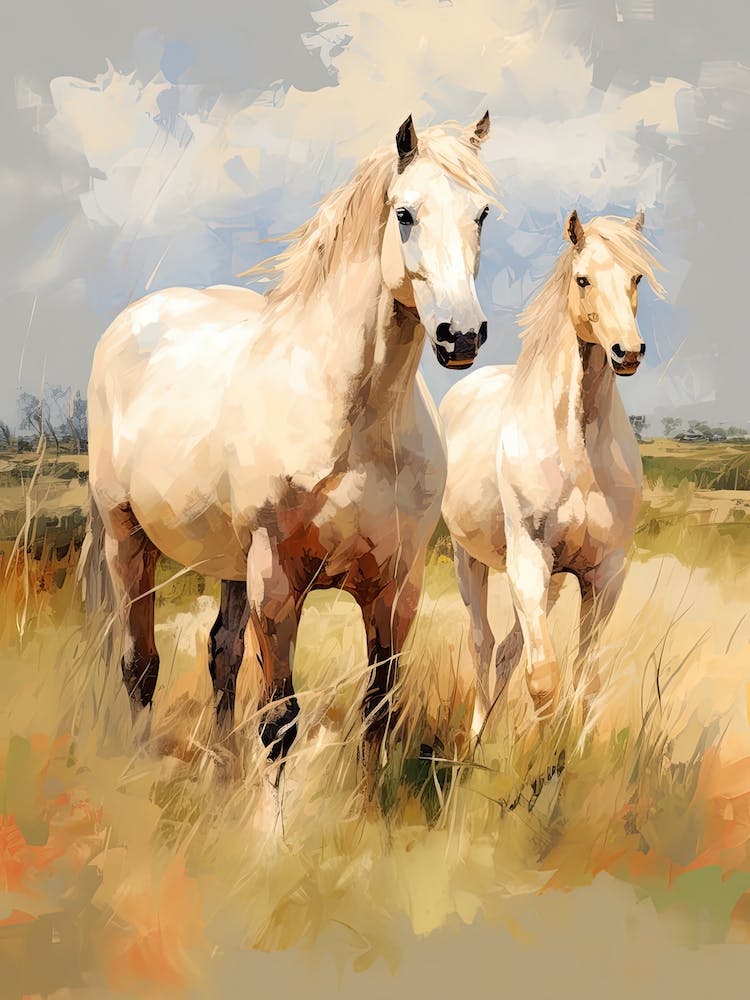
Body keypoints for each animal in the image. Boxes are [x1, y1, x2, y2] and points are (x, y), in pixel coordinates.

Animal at [82, 112, 497, 766]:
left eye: (480, 214)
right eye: (405, 213)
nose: (461, 335)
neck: (354, 421)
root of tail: (130, 323)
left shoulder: (395, 589)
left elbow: (379, 710)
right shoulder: (275, 585)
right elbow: (279, 721)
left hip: (228, 564)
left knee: (221, 653)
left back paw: (223, 771)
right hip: (128, 541)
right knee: (139, 666)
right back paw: (140, 767)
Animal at [440, 210, 665, 729]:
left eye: (636, 277)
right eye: (582, 279)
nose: (628, 352)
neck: (577, 449)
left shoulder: (604, 574)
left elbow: (586, 681)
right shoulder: (528, 557)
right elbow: (542, 677)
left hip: (554, 579)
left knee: (507, 648)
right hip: (470, 560)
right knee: (482, 643)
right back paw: (476, 734)